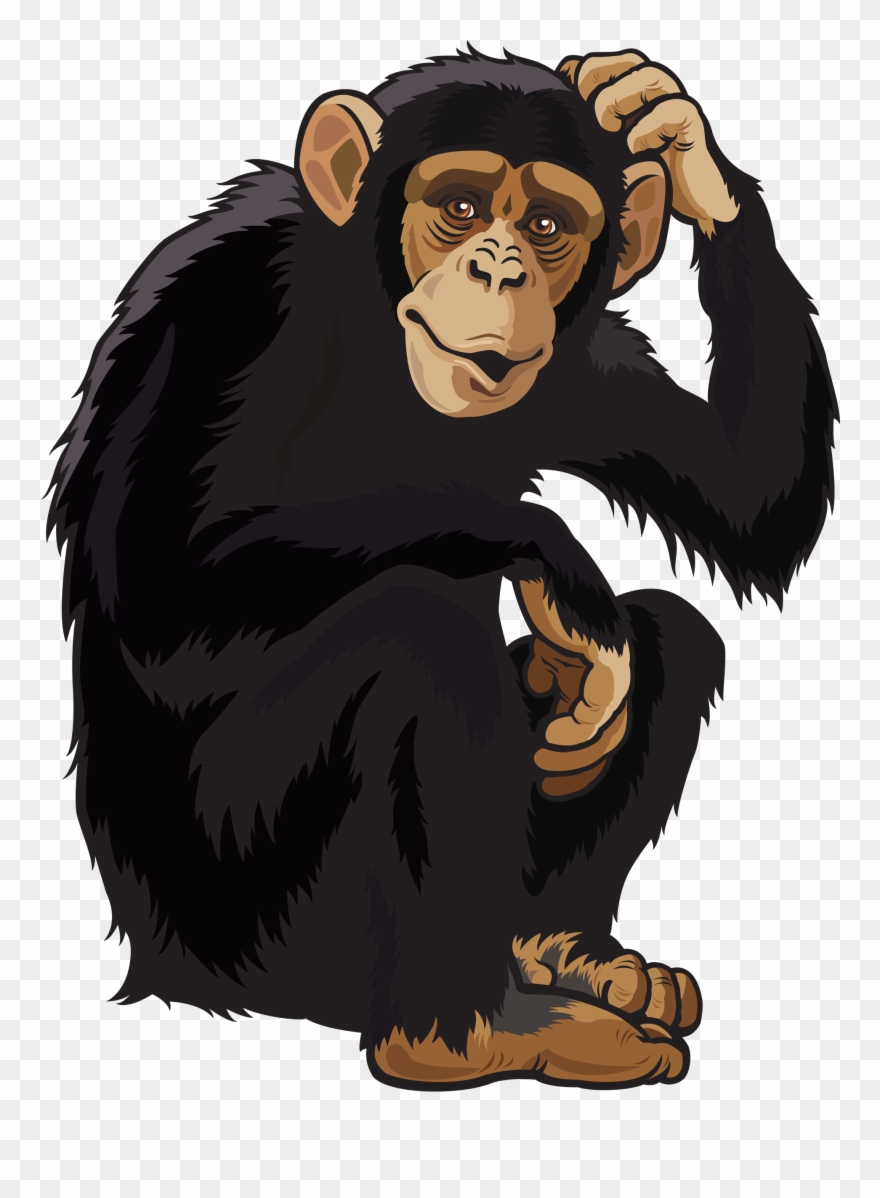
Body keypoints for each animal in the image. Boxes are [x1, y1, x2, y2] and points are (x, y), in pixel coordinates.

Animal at [47, 49, 837, 1089]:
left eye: (546, 226)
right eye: (459, 206)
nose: (499, 266)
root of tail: (160, 963)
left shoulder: (585, 364)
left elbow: (750, 501)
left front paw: (670, 128)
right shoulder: (233, 304)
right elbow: (164, 576)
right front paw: (563, 572)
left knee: (678, 629)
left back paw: (566, 955)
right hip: (250, 923)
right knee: (417, 638)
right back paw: (463, 1031)